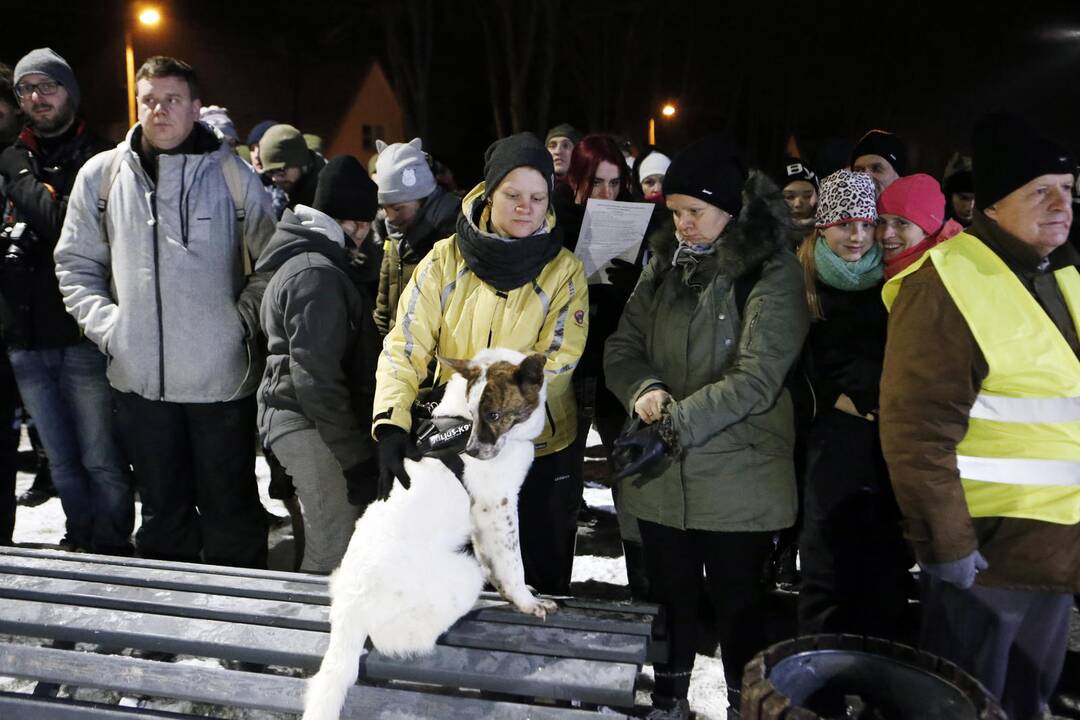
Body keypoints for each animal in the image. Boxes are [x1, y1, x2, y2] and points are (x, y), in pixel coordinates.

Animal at [302, 349, 557, 720]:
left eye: (493, 414)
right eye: (477, 414)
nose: (474, 452)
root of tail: (350, 611)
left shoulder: (482, 519)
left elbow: (496, 562)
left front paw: (511, 596)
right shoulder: (497, 507)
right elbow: (513, 564)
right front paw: (526, 602)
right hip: (464, 573)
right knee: (404, 640)